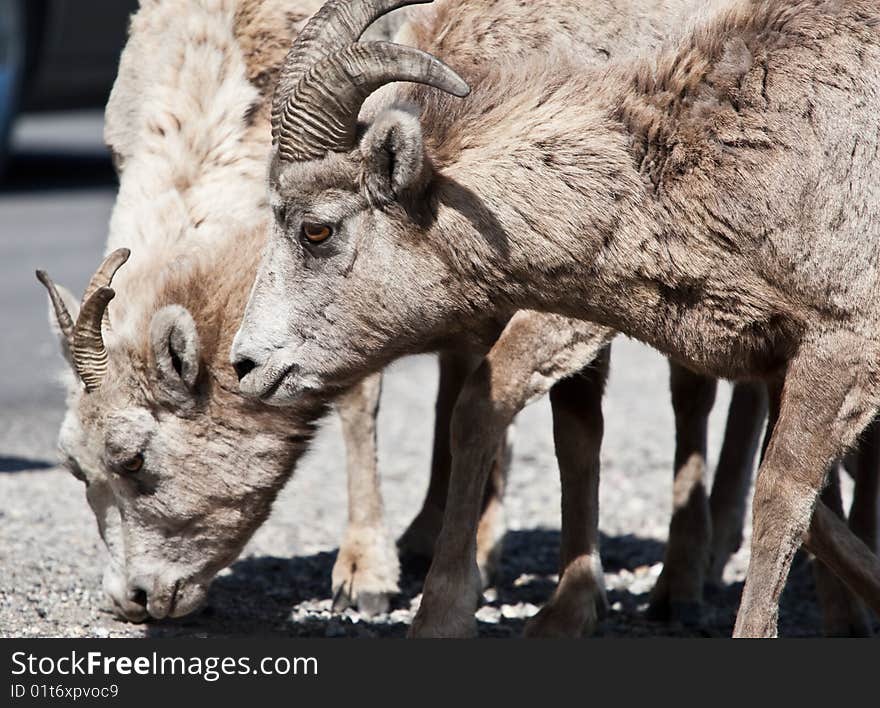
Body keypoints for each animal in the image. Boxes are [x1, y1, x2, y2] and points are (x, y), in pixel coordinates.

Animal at [232, 0, 880, 640]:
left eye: (317, 230)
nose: (245, 364)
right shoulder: (775, 363)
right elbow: (817, 516)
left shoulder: (839, 352)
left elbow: (780, 500)